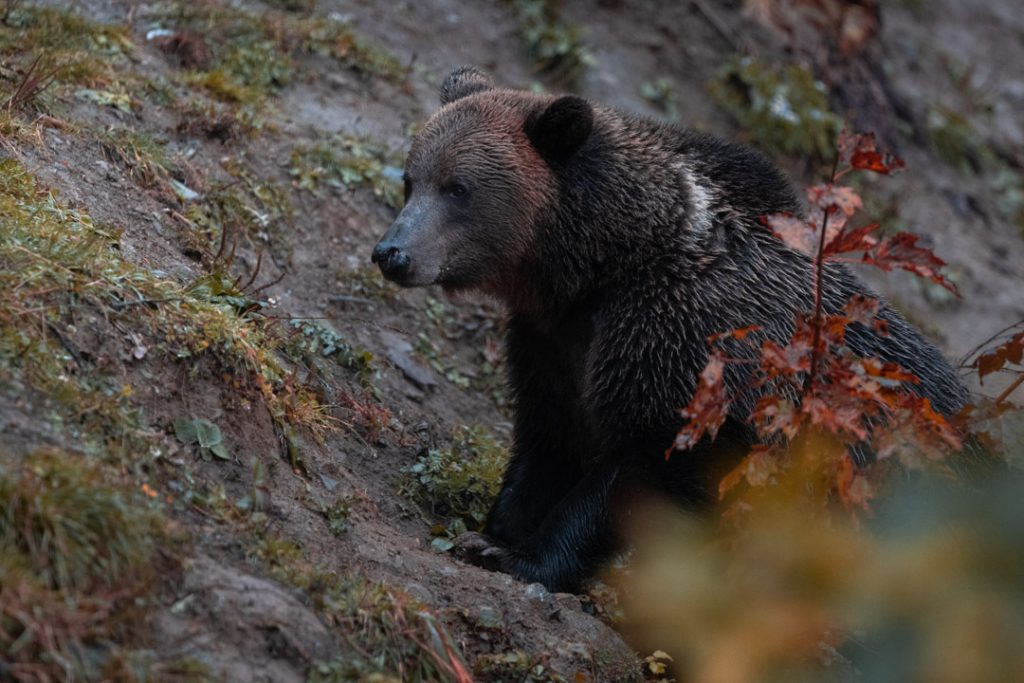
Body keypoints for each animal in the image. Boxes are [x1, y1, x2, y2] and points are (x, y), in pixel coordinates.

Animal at [371, 67, 969, 593]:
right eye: (410, 180)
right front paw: (493, 531)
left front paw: (524, 557)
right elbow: (549, 438)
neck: (603, 266)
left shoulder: (690, 349)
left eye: (458, 188)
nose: (391, 252)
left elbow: (642, 467)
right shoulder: (556, 344)